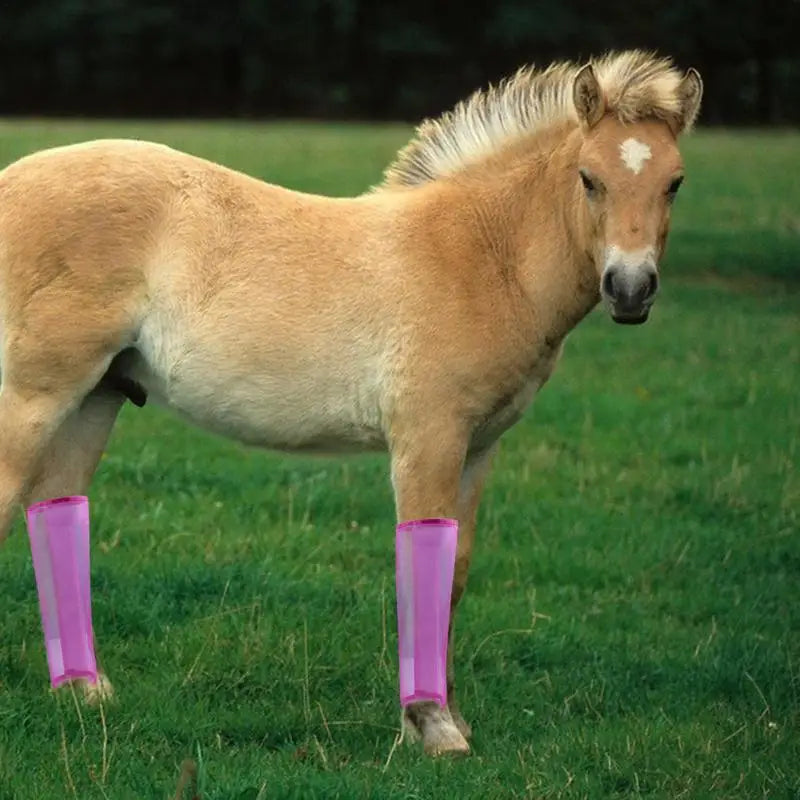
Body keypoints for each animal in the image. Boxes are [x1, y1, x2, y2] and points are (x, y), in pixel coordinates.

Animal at [0, 50, 702, 755]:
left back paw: (83, 691)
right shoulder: (427, 437)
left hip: (96, 398)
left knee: (55, 510)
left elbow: (454, 572)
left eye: (675, 182)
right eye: (589, 178)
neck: (481, 254)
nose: (630, 290)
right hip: (34, 398)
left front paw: (448, 717)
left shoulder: (478, 448)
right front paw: (432, 727)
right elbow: (422, 557)